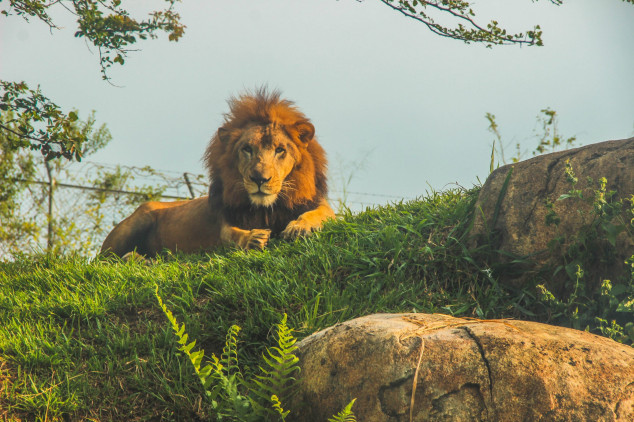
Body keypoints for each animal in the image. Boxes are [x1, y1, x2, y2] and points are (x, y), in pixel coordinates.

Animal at [99, 89, 334, 258]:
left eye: (280, 150)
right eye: (247, 149)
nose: (259, 179)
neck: (267, 209)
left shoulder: (319, 205)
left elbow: (319, 214)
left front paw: (299, 228)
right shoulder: (223, 220)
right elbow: (229, 235)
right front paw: (254, 238)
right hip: (138, 220)